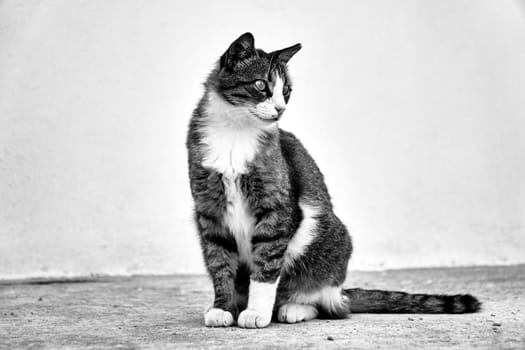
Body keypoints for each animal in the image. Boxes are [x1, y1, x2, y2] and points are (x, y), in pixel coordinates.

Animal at [186, 32, 482, 328]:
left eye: (286, 91)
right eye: (261, 85)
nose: (280, 108)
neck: (234, 135)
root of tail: (341, 291)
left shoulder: (278, 210)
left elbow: (267, 263)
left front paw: (257, 312)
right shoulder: (209, 212)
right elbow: (220, 264)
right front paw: (222, 308)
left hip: (327, 242)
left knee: (326, 304)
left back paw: (292, 308)